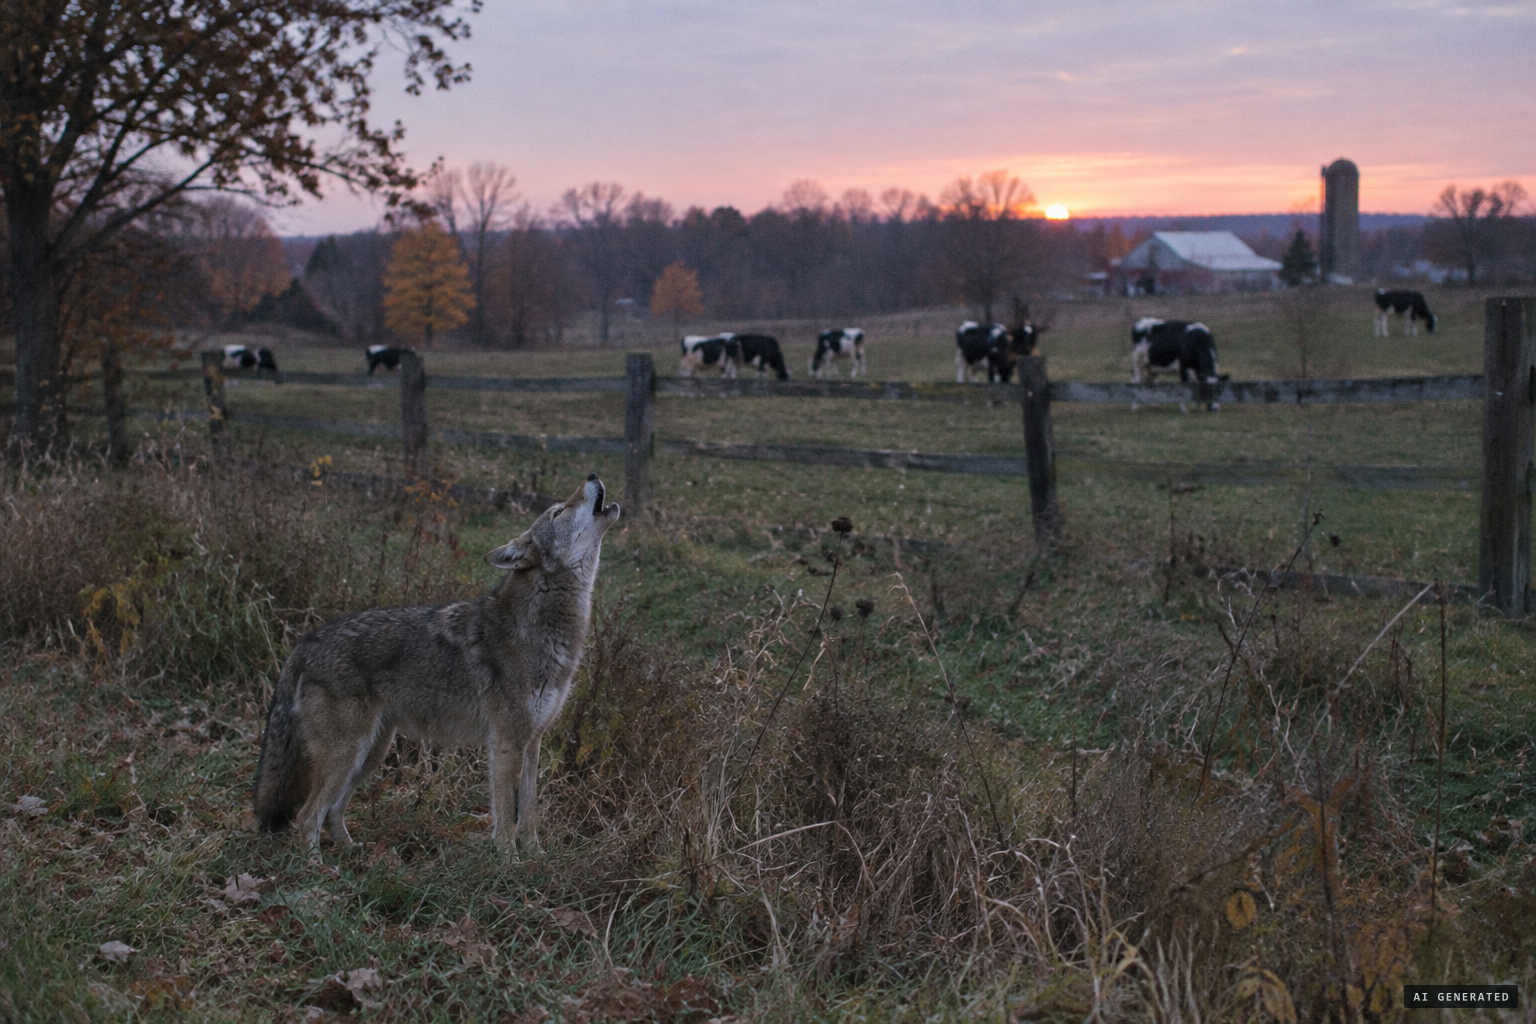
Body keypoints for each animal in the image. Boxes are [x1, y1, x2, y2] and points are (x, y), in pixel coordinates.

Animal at [252, 474, 620, 852]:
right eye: (559, 511)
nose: (592, 475)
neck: (541, 628)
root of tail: (304, 642)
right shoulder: (506, 743)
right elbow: (505, 814)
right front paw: (508, 859)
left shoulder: (532, 743)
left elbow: (529, 812)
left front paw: (535, 856)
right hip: (349, 752)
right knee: (306, 817)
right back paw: (319, 864)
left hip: (371, 752)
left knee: (333, 811)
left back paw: (352, 851)